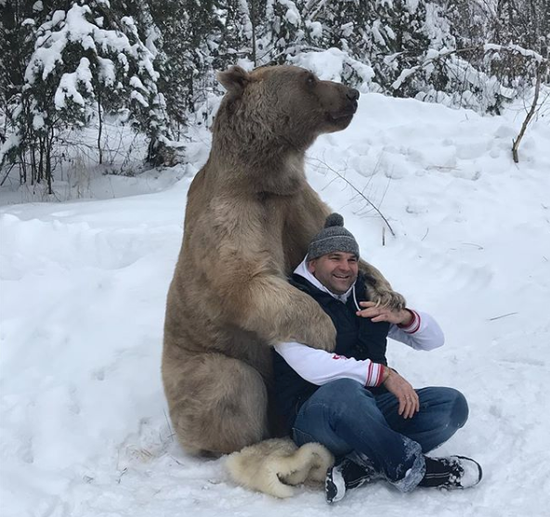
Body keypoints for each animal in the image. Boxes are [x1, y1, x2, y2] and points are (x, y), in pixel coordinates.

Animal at [161, 63, 406, 456]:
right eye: (309, 78)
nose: (352, 93)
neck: (267, 176)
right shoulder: (232, 216)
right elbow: (245, 279)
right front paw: (325, 331)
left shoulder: (298, 204)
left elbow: (341, 243)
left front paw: (388, 295)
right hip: (198, 359)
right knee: (231, 385)